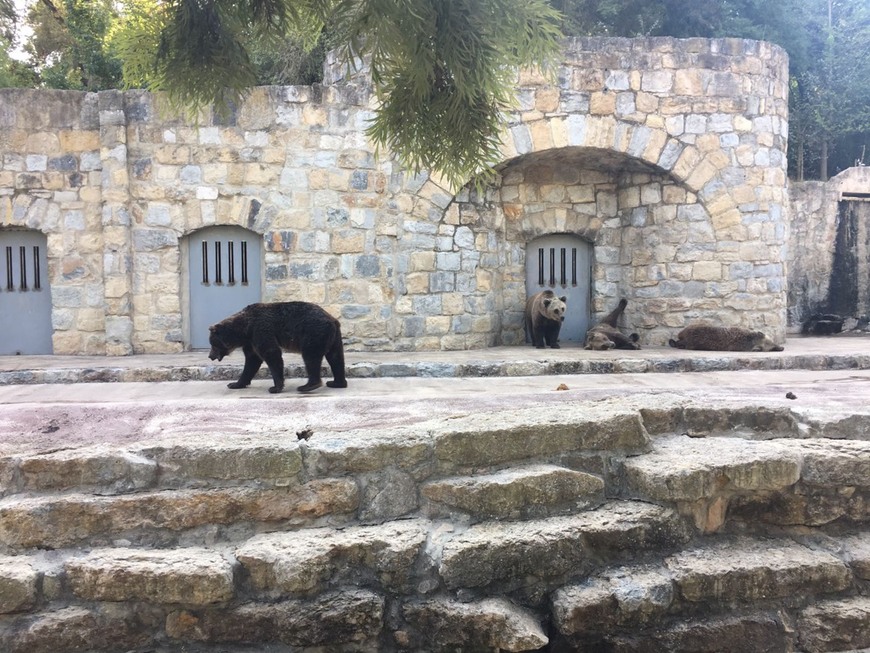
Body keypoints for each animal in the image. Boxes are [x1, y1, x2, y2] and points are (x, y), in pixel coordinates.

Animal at [209, 300, 350, 392]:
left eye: (212, 344)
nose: (210, 356)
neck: (244, 329)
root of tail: (332, 320)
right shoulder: (250, 341)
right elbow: (251, 361)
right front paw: (235, 384)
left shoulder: (260, 329)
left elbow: (271, 353)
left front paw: (275, 387)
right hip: (334, 337)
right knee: (336, 357)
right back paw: (336, 382)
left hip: (314, 332)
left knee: (311, 356)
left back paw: (308, 385)